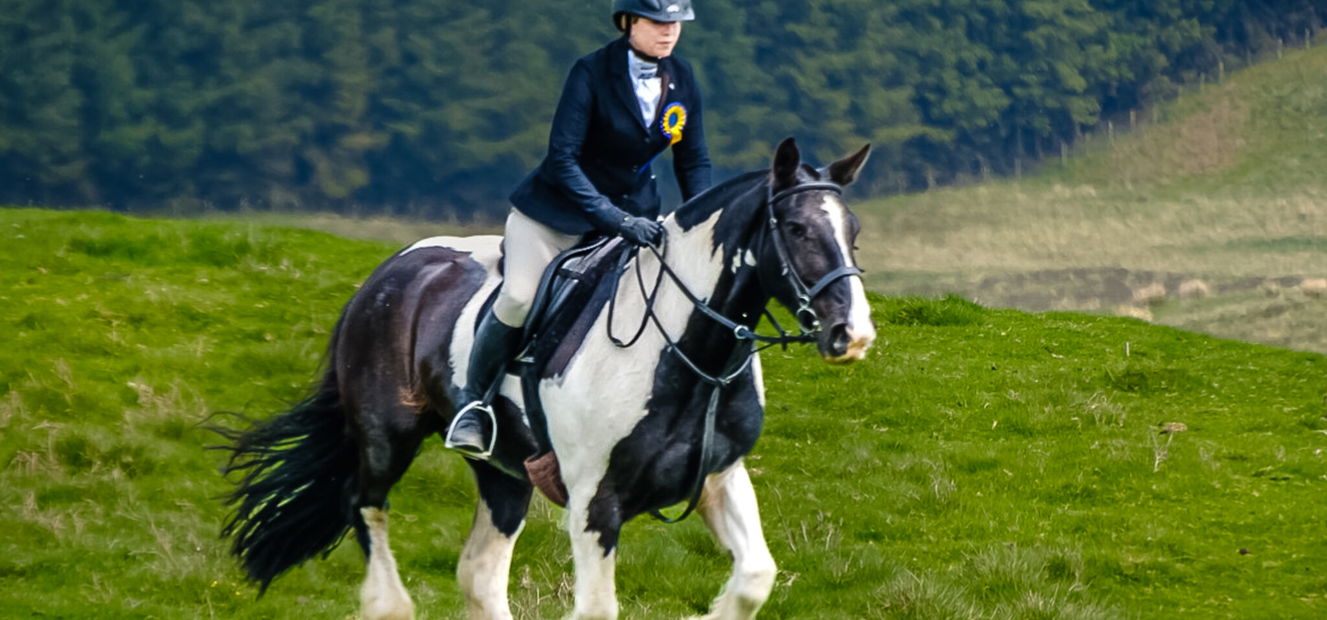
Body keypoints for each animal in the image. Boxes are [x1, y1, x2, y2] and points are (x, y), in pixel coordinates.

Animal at [215, 137, 877, 620]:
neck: (687, 355)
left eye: (854, 231)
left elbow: (754, 579)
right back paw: (389, 602)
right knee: (366, 508)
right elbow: (597, 609)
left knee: (479, 575)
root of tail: (391, 272)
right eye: (797, 229)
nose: (853, 334)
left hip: (503, 471)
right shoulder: (593, 501)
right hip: (385, 438)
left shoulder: (720, 477)